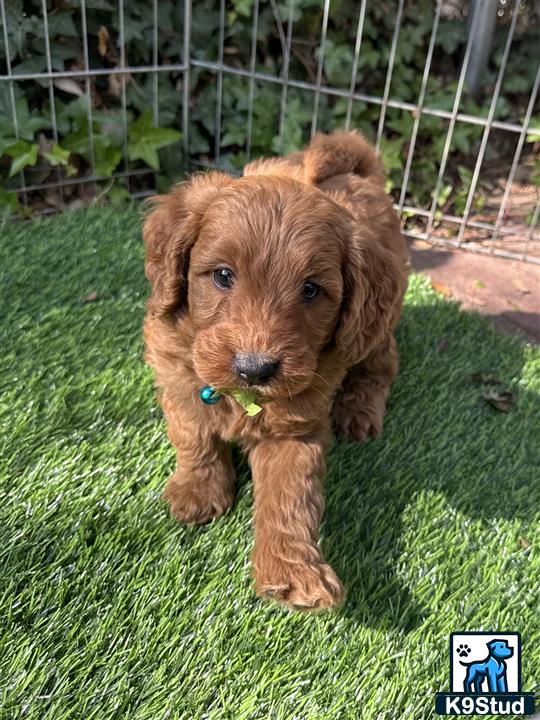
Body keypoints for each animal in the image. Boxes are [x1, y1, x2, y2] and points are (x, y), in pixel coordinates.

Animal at [143, 132, 410, 612]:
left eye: (311, 290)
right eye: (222, 275)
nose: (255, 368)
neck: (241, 399)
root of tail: (358, 170)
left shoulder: (295, 430)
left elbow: (289, 497)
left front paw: (291, 574)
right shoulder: (177, 377)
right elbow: (194, 436)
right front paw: (198, 491)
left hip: (375, 328)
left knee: (381, 363)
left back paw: (359, 412)